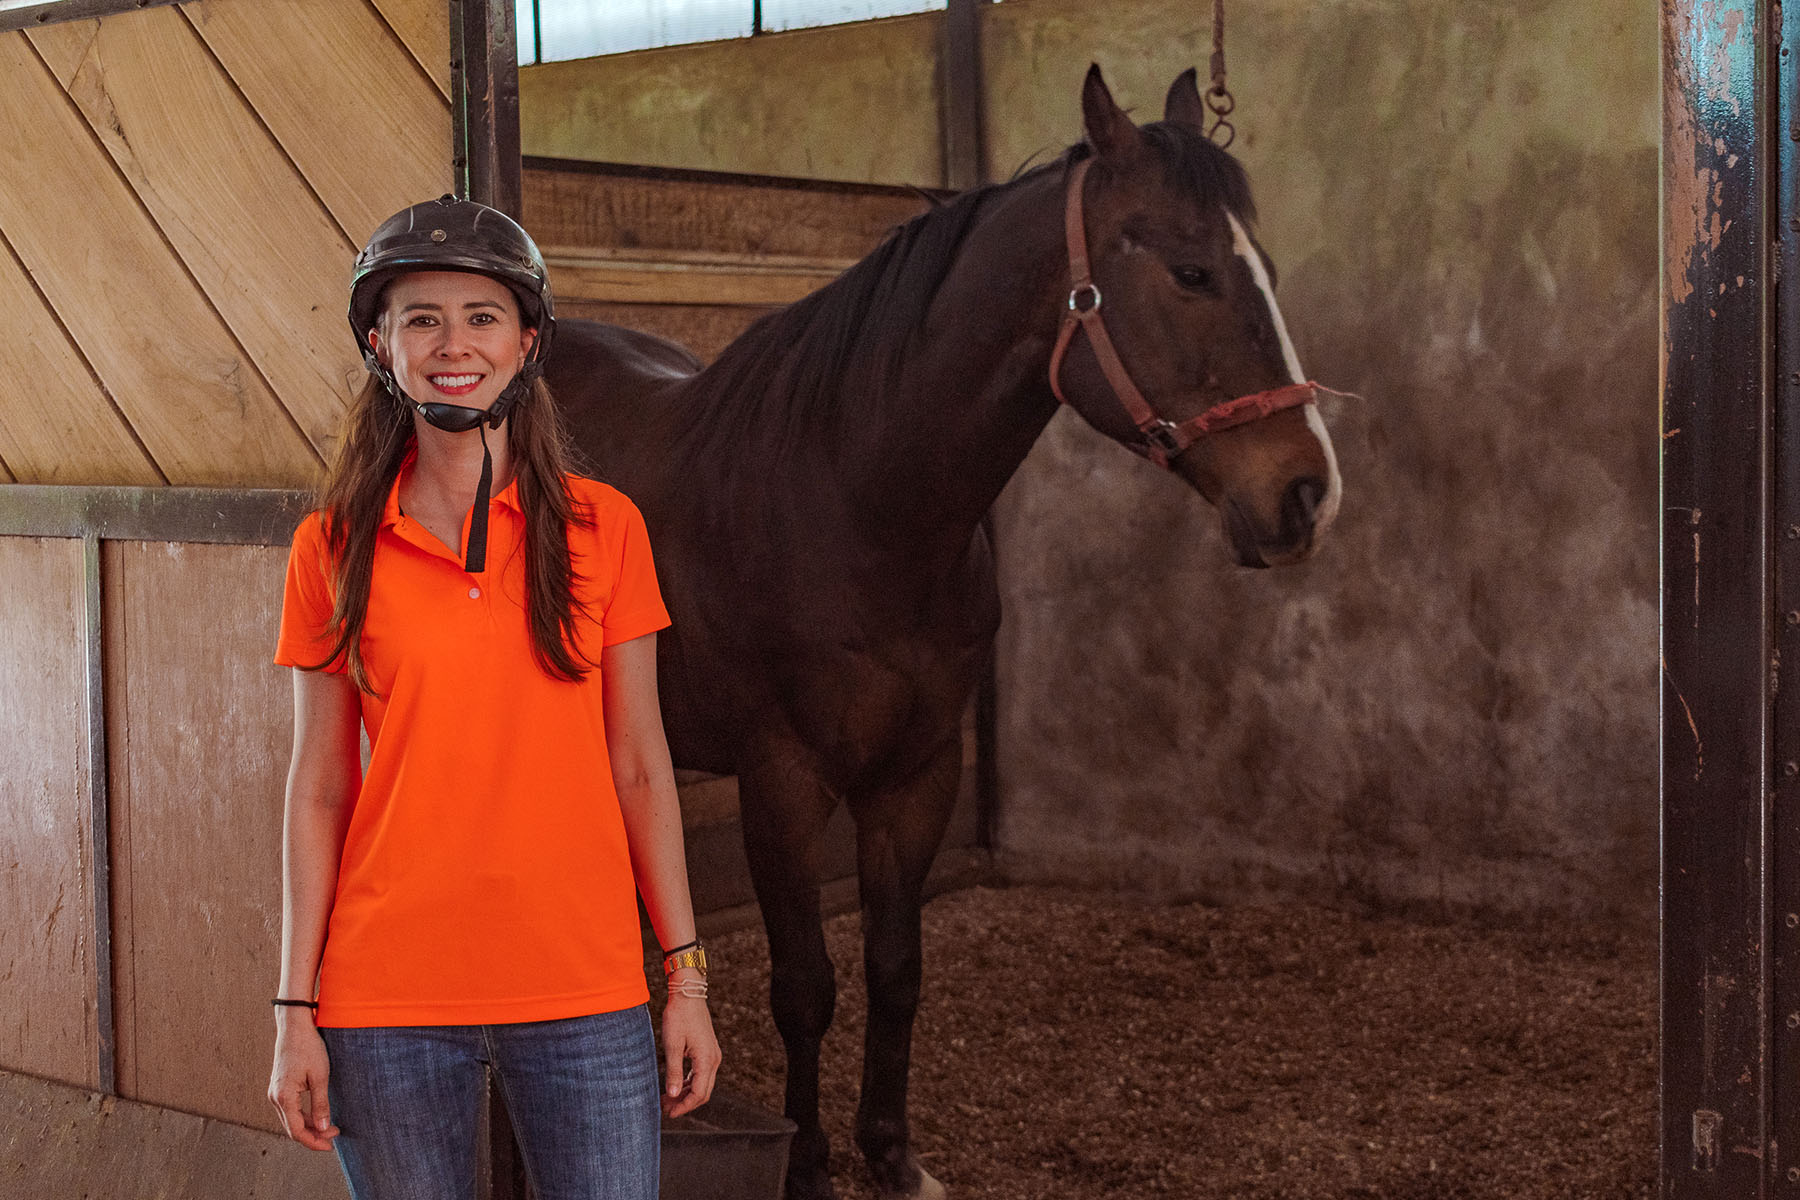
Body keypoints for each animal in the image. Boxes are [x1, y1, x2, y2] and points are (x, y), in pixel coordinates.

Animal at [543, 65, 1339, 1200]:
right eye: (1192, 271)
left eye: (1261, 268)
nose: (1308, 493)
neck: (854, 498)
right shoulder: (783, 781)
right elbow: (806, 983)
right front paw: (807, 1166)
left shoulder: (917, 776)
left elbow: (896, 968)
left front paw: (891, 1153)